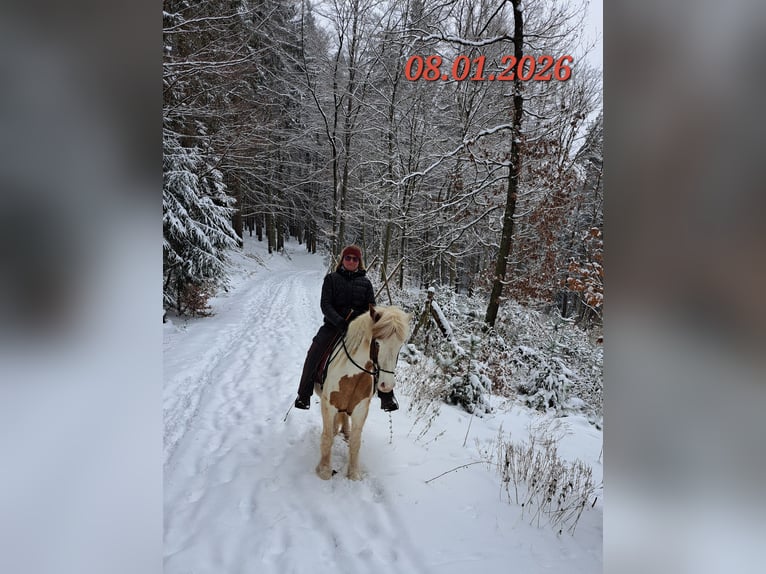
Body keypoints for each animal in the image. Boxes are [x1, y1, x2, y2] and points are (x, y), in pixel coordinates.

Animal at [313, 304, 411, 480]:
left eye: (400, 346)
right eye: (377, 344)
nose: (386, 385)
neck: (354, 373)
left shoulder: (360, 410)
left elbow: (355, 443)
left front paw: (353, 474)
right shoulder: (328, 405)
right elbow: (327, 437)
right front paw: (324, 470)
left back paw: (345, 432)